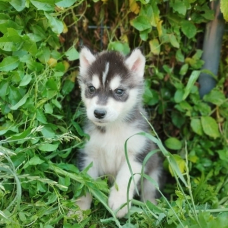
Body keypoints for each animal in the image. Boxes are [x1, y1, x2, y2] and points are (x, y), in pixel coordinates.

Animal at [77, 47, 161, 218]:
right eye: (91, 89)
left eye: (119, 91)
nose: (99, 113)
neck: (112, 129)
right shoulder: (89, 154)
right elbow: (86, 184)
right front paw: (80, 209)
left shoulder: (137, 152)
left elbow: (125, 178)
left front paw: (120, 201)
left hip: (153, 172)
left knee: (149, 193)